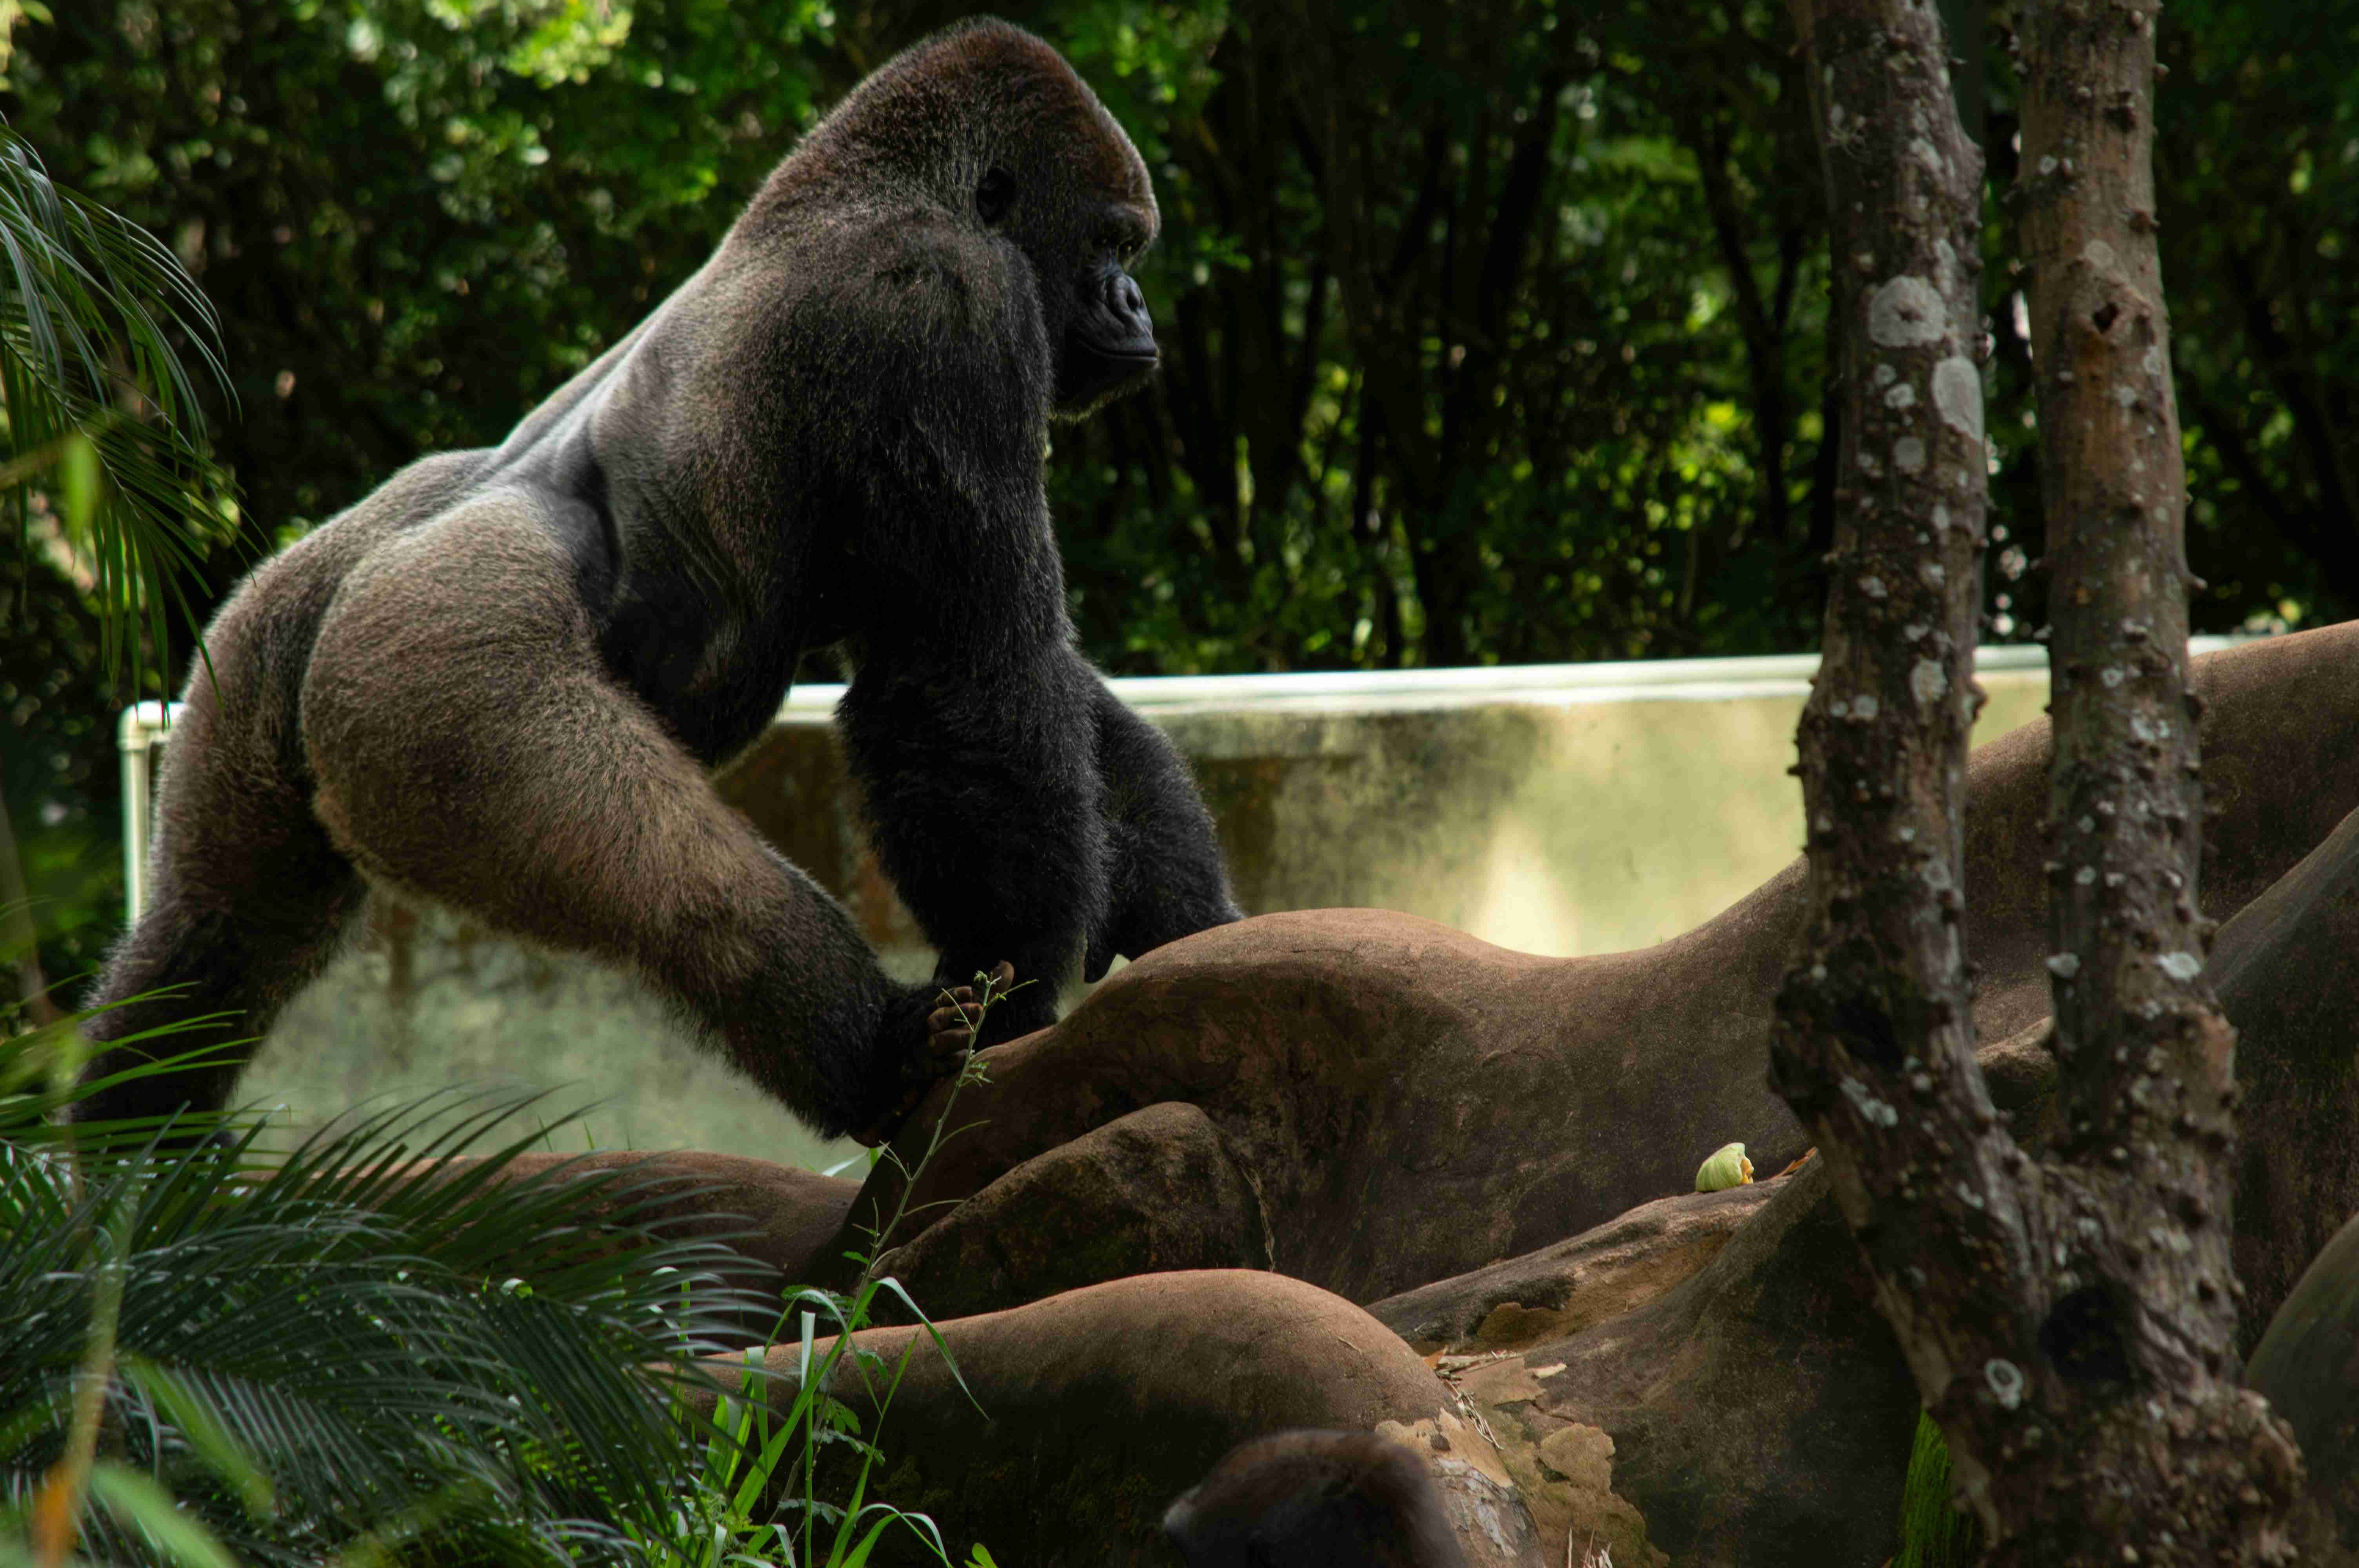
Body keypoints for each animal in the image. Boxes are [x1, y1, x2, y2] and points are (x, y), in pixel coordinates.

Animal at [75, 18, 1242, 1145]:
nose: (1136, 304)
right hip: (425, 671)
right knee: (682, 884)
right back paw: (872, 1055)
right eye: (1109, 243)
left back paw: (134, 1165)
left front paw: (1184, 912)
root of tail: (359, 575)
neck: (879, 184)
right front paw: (1016, 988)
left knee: (209, 937)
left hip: (255, 649)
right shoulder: (947, 305)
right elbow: (962, 673)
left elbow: (1026, 683)